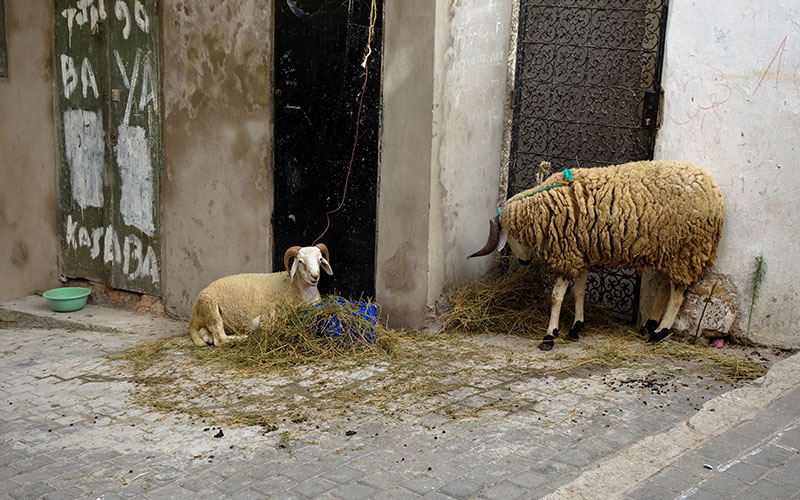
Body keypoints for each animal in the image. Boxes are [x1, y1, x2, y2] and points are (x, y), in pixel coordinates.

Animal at [188, 244, 332, 346]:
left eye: (320, 259)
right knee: (220, 339)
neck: (297, 287)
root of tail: (193, 318)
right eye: (301, 261)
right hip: (210, 308)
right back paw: (244, 337)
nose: (315, 276)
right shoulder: (269, 313)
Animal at [468, 162, 724, 350]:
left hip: (686, 249)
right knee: (664, 285)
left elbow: (556, 297)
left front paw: (550, 335)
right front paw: (576, 327)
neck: (547, 208)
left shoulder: (568, 255)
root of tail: (713, 189)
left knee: (678, 293)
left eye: (509, 236)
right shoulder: (581, 254)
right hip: (668, 250)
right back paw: (650, 325)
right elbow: (579, 292)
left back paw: (660, 332)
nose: (523, 261)